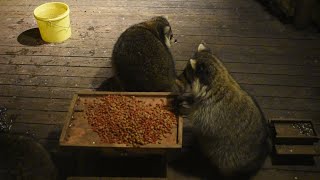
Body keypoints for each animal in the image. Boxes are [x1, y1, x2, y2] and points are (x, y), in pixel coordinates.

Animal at [178, 42, 270, 179]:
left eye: (185, 73)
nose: (177, 79)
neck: (217, 80)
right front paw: (188, 99)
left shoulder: (212, 111)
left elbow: (199, 120)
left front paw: (186, 108)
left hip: (231, 156)